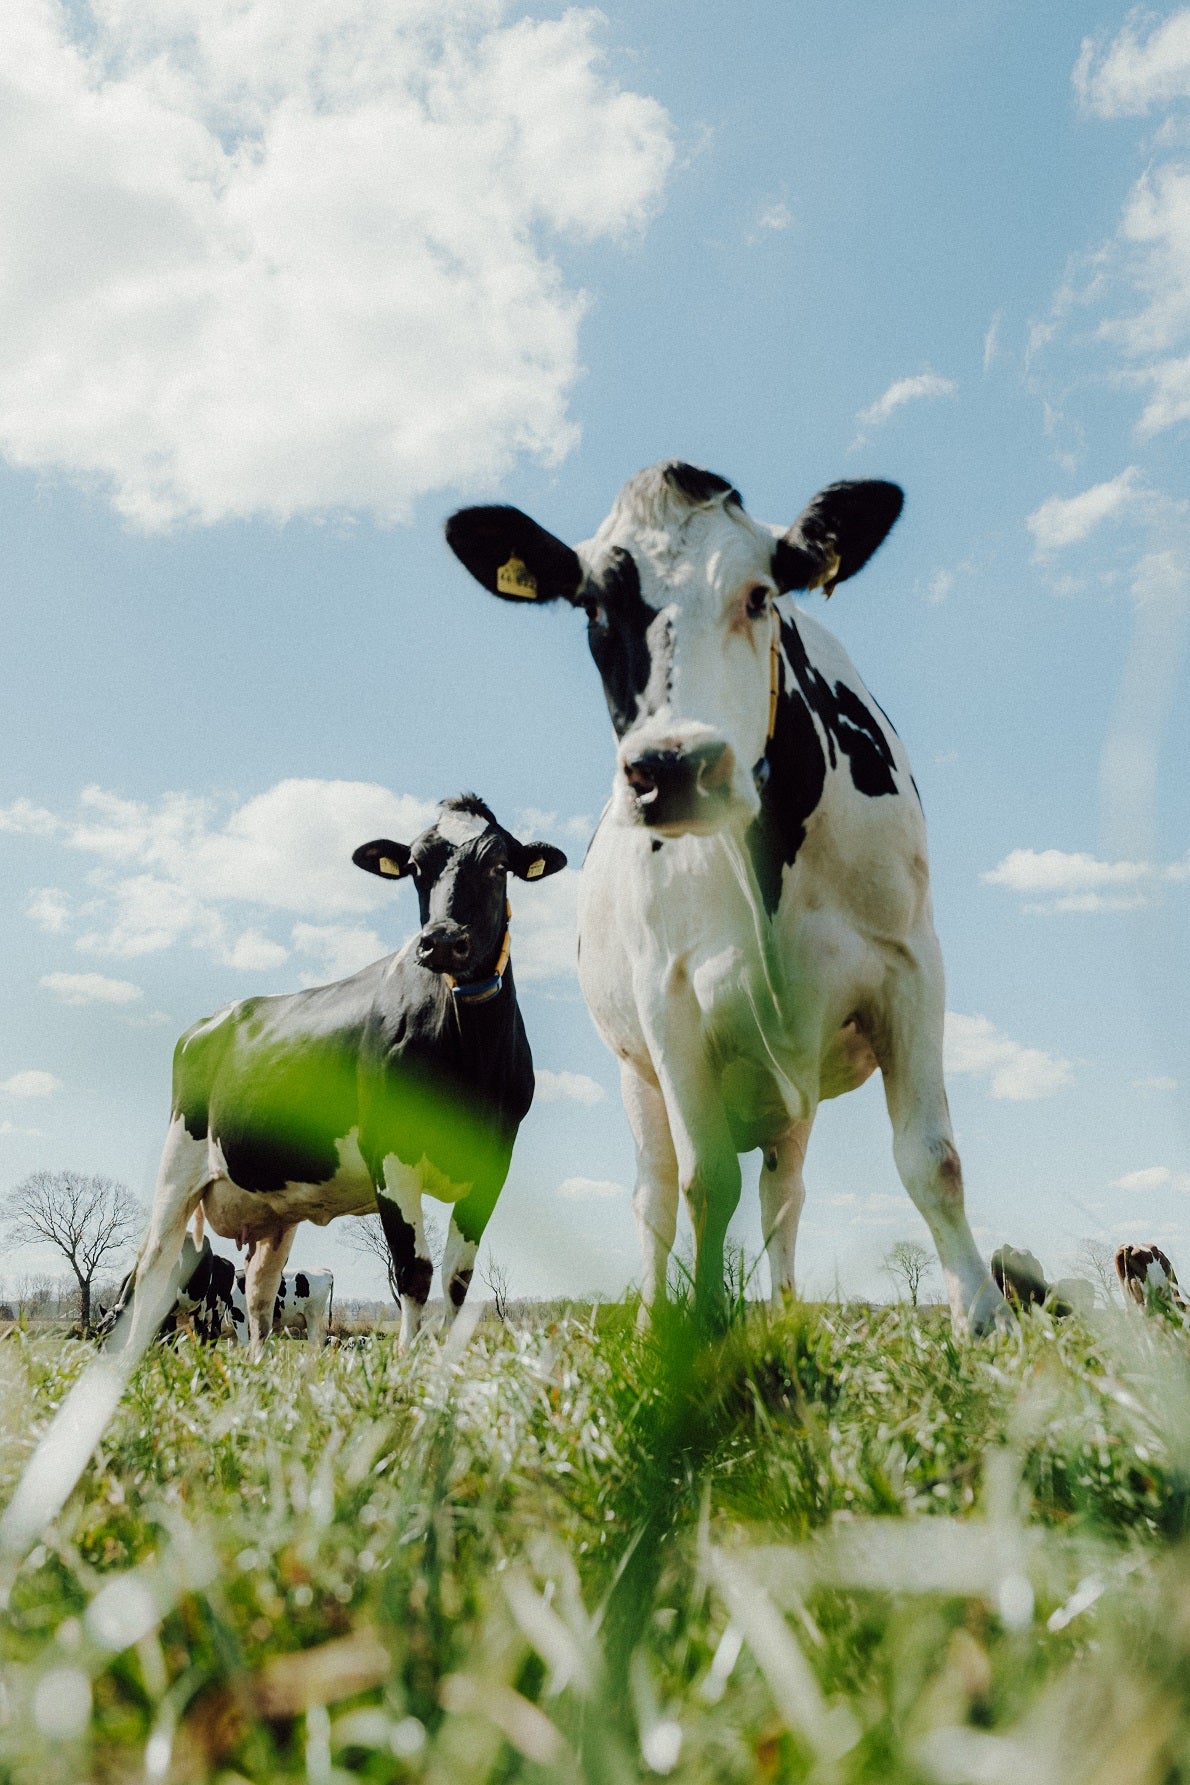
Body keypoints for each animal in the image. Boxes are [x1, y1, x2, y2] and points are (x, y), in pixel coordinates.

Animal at [105, 795, 566, 1362]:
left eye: (499, 865)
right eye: (416, 867)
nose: (441, 942)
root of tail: (210, 1021)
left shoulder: (494, 1158)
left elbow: (458, 1277)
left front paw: (449, 1364)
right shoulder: (391, 1151)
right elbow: (414, 1270)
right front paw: (409, 1361)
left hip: (274, 1210)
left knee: (259, 1295)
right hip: (177, 1167)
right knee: (153, 1269)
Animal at [446, 461, 1008, 1335]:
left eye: (760, 594)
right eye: (594, 606)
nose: (675, 766)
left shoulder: (911, 966)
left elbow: (932, 1159)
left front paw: (981, 1316)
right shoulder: (668, 1001)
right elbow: (705, 1182)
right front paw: (698, 1329)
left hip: (792, 1101)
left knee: (785, 1196)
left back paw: (785, 1311)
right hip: (637, 1077)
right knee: (655, 1195)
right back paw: (652, 1318)